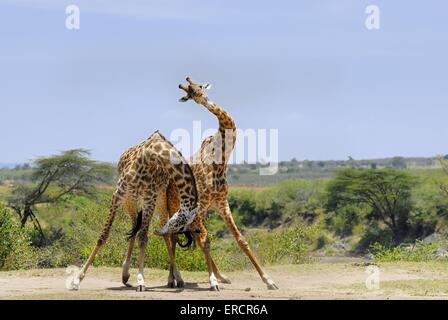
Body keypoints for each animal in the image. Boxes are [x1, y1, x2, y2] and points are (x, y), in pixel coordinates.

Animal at [67, 131, 197, 292]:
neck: (149, 157)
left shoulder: (149, 200)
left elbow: (143, 239)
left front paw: (141, 281)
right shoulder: (118, 197)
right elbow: (103, 236)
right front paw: (78, 278)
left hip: (160, 198)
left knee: (163, 235)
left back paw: (177, 278)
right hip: (131, 201)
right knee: (136, 226)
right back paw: (125, 274)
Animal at [163, 77, 278, 290]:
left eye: (199, 87)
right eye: (190, 94)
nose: (204, 98)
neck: (219, 160)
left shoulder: (221, 203)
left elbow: (241, 240)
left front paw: (269, 280)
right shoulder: (201, 206)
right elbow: (205, 240)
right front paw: (212, 281)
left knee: (187, 235)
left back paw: (221, 276)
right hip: (175, 206)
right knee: (173, 235)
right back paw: (173, 279)